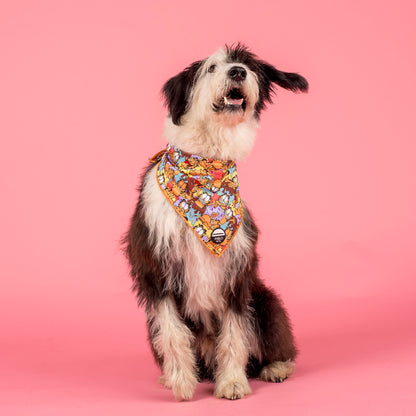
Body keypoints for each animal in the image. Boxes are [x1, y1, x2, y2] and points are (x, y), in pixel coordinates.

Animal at [122, 44, 308, 402]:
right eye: (210, 68)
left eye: (247, 65)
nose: (237, 72)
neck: (207, 165)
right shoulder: (155, 265)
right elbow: (172, 330)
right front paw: (181, 382)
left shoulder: (237, 271)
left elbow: (235, 333)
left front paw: (232, 382)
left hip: (266, 301)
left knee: (274, 342)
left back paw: (276, 367)